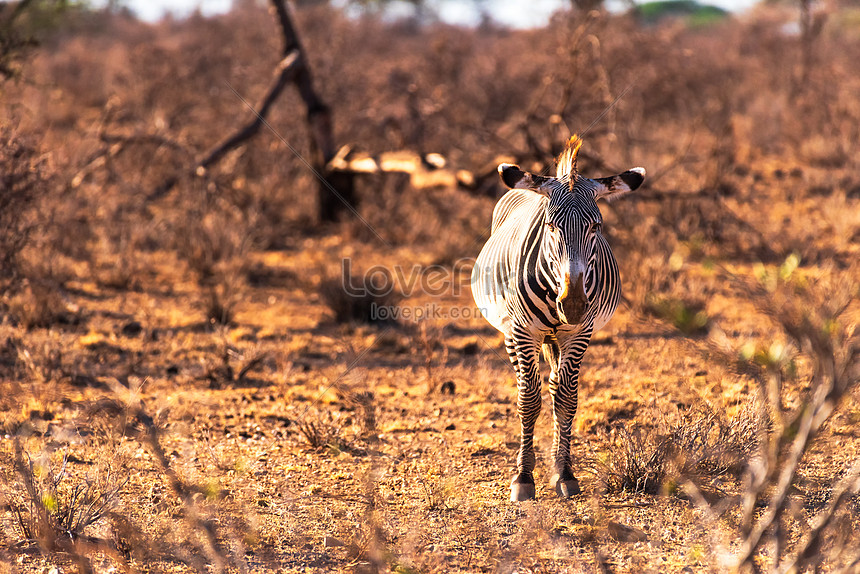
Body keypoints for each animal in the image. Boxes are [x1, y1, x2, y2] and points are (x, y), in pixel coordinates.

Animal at [470, 137, 644, 502]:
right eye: (551, 226)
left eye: (596, 227)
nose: (574, 304)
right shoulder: (523, 331)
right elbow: (528, 399)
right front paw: (523, 477)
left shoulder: (579, 333)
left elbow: (565, 398)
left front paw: (564, 472)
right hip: (511, 332)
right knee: (529, 384)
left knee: (554, 386)